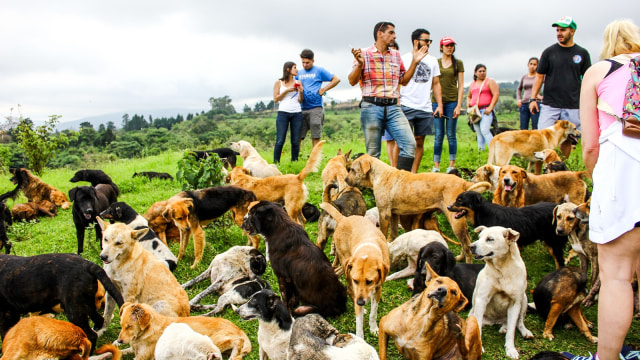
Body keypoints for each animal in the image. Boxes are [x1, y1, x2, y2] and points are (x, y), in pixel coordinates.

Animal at [117, 300, 250, 360]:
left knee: (237, 341)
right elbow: (122, 351)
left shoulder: (142, 357)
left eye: (129, 326)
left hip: (213, 341)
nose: (119, 341)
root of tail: (238, 328)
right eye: (121, 325)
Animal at [320, 200, 390, 338]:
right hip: (345, 264)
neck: (368, 250)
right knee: (348, 288)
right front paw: (360, 337)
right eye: (356, 280)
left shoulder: (378, 288)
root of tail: (343, 218)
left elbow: (374, 312)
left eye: (369, 281)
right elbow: (359, 322)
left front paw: (373, 328)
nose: (360, 303)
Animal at [344, 154, 490, 262]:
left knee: (466, 244)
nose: (345, 179)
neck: (378, 175)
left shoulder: (384, 212)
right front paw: (391, 242)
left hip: (455, 221)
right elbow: (393, 232)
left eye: (352, 170)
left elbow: (384, 232)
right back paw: (460, 257)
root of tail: (462, 182)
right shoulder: (394, 214)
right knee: (467, 241)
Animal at [468, 226, 532, 358]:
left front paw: (511, 349)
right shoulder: (482, 299)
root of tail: (495, 321)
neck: (502, 269)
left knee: (518, 322)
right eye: (479, 237)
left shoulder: (515, 302)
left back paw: (522, 331)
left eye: (490, 239)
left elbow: (512, 331)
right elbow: (478, 329)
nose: (471, 246)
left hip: (524, 299)